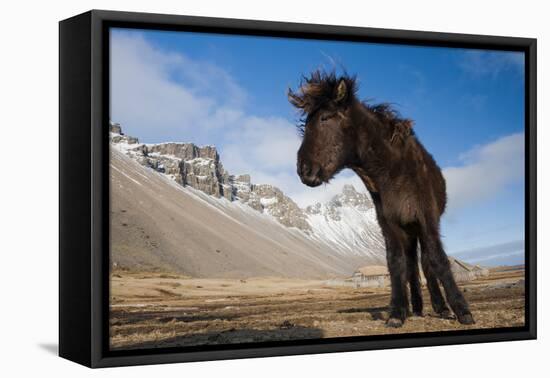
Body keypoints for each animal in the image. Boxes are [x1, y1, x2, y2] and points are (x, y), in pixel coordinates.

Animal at [292, 71, 476, 328]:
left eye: (325, 118)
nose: (304, 170)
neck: (393, 172)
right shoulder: (389, 224)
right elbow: (396, 264)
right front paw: (397, 312)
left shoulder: (426, 218)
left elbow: (438, 260)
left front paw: (461, 310)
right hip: (408, 230)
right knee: (412, 266)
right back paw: (417, 307)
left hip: (418, 227)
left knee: (426, 263)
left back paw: (440, 307)